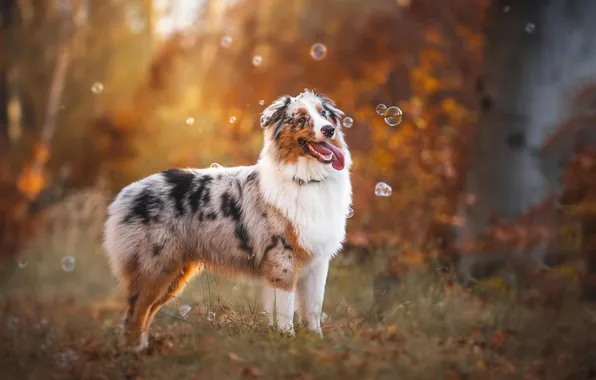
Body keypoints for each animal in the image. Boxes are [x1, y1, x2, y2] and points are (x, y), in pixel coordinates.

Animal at [104, 90, 352, 350]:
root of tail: (125, 194)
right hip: (156, 267)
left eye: (324, 114)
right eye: (302, 119)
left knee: (146, 310)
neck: (306, 180)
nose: (329, 130)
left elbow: (313, 308)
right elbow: (285, 308)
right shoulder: (282, 258)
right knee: (136, 310)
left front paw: (316, 342)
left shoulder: (317, 262)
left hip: (173, 274)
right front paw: (287, 339)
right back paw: (134, 350)